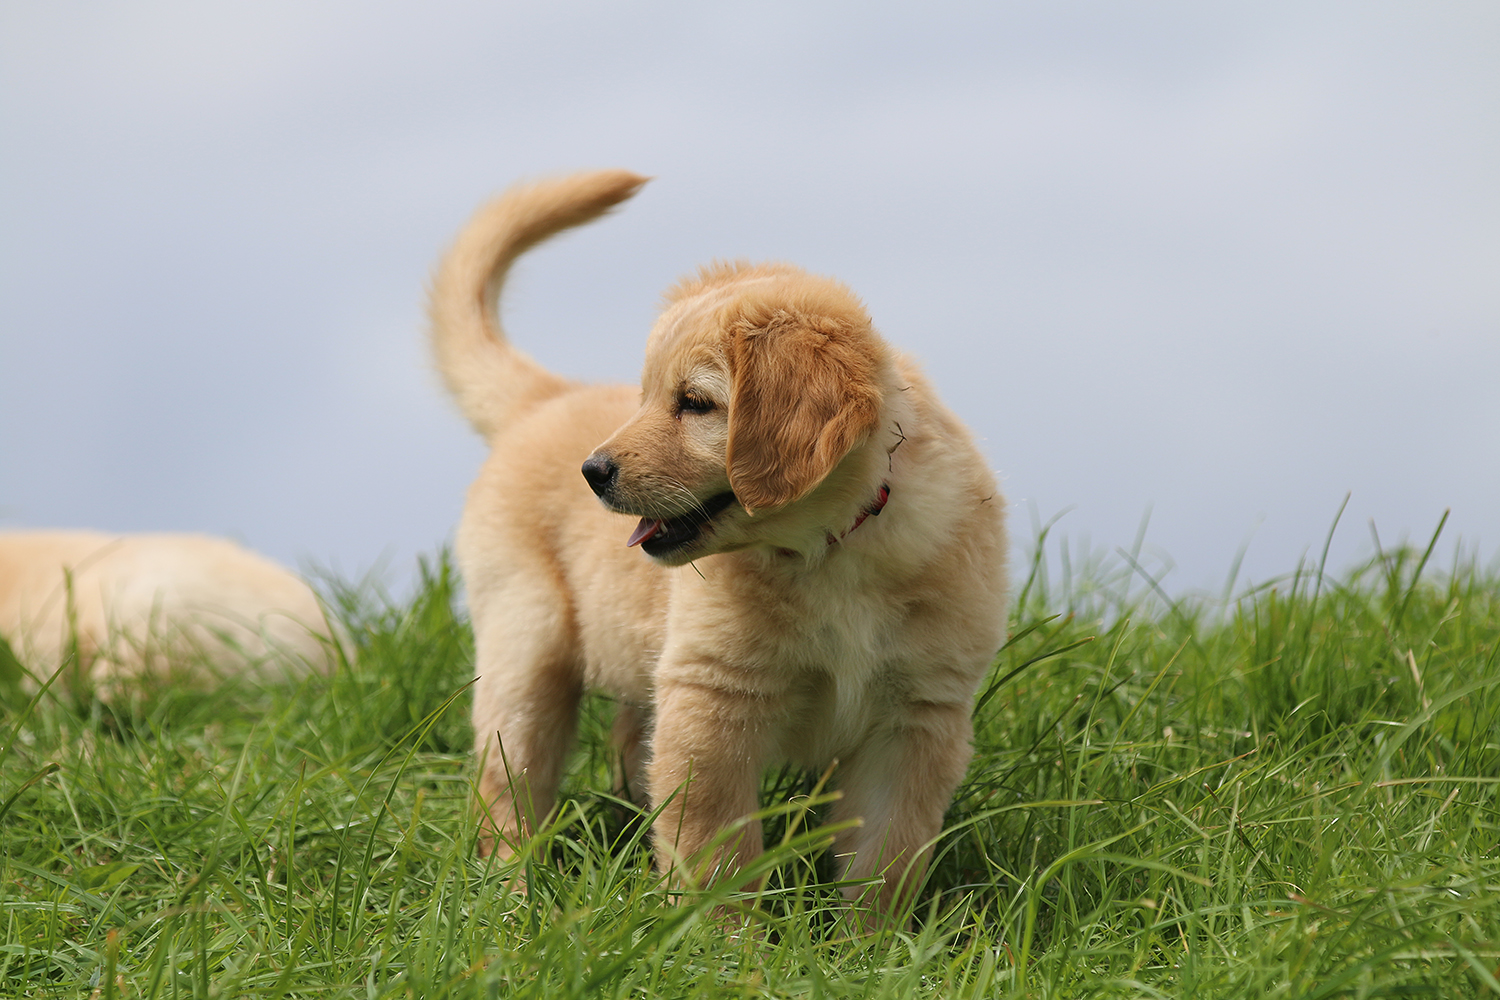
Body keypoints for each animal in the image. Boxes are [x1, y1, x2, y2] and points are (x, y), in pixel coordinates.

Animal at [430, 171, 1008, 919]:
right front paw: (721, 939)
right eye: (646, 396)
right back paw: (513, 900)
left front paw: (873, 943)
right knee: (509, 793)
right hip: (525, 649)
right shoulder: (712, 697)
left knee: (626, 748)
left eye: (695, 403)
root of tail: (546, 399)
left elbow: (886, 860)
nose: (592, 471)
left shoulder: (917, 719)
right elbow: (716, 851)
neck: (832, 551)